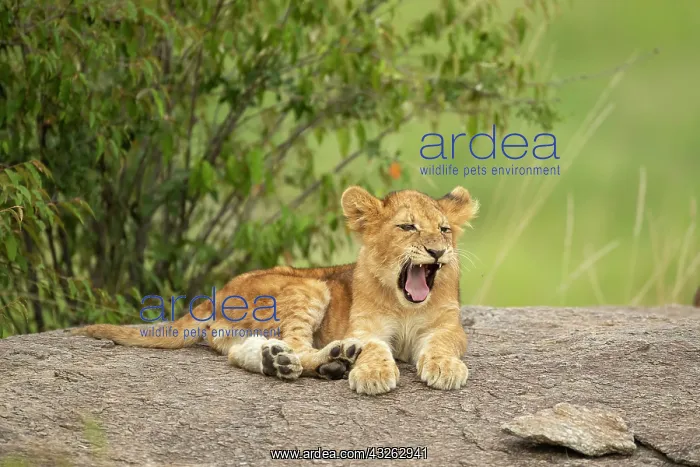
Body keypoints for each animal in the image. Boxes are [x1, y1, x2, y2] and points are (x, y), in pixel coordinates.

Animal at [73, 185, 479, 395]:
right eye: (408, 227)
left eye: (444, 230)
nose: (437, 251)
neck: (406, 304)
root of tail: (216, 295)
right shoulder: (365, 327)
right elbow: (376, 347)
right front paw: (373, 375)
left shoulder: (448, 327)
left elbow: (442, 344)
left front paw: (444, 369)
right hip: (310, 285)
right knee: (297, 344)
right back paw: (333, 357)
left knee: (243, 351)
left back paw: (280, 362)